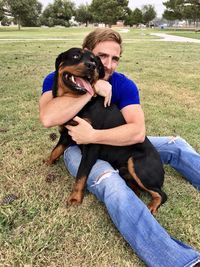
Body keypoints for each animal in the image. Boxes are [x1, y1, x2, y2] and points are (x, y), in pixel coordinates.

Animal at [47, 48, 167, 215]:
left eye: (95, 61)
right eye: (75, 55)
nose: (91, 66)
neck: (77, 102)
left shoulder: (91, 144)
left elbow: (81, 174)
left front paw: (75, 198)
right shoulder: (66, 134)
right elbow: (55, 151)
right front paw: (46, 162)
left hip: (137, 165)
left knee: (161, 194)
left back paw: (152, 206)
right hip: (125, 170)